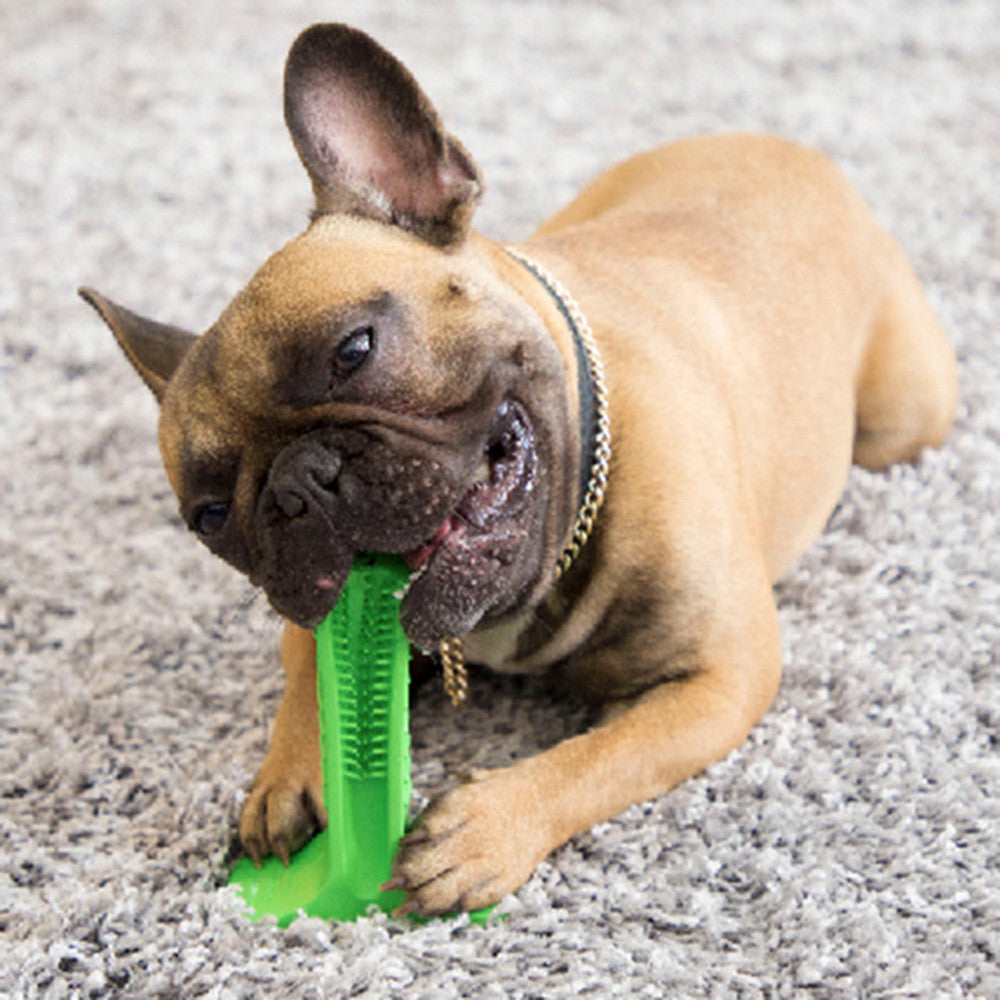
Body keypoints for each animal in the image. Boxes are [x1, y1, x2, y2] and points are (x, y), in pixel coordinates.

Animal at [78, 23, 952, 916]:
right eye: (211, 516)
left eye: (354, 350)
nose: (295, 485)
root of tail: (794, 151)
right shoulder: (316, 615)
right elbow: (310, 674)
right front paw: (285, 776)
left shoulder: (718, 681)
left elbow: (605, 757)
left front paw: (485, 829)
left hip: (905, 422)